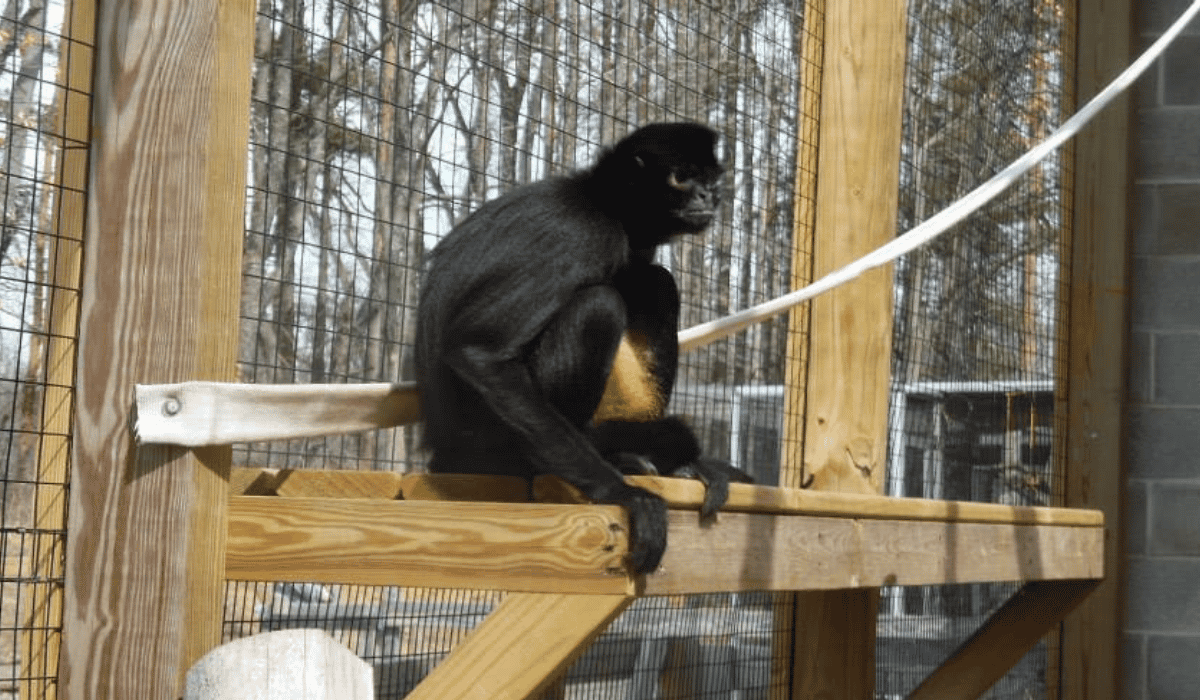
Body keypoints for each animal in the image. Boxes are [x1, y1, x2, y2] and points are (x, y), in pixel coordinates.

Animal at [414, 122, 752, 574]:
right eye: (681, 177)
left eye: (709, 180)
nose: (706, 197)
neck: (602, 201)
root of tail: (443, 447)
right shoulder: (583, 232)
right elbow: (478, 352)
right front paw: (624, 493)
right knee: (599, 303)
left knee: (653, 280)